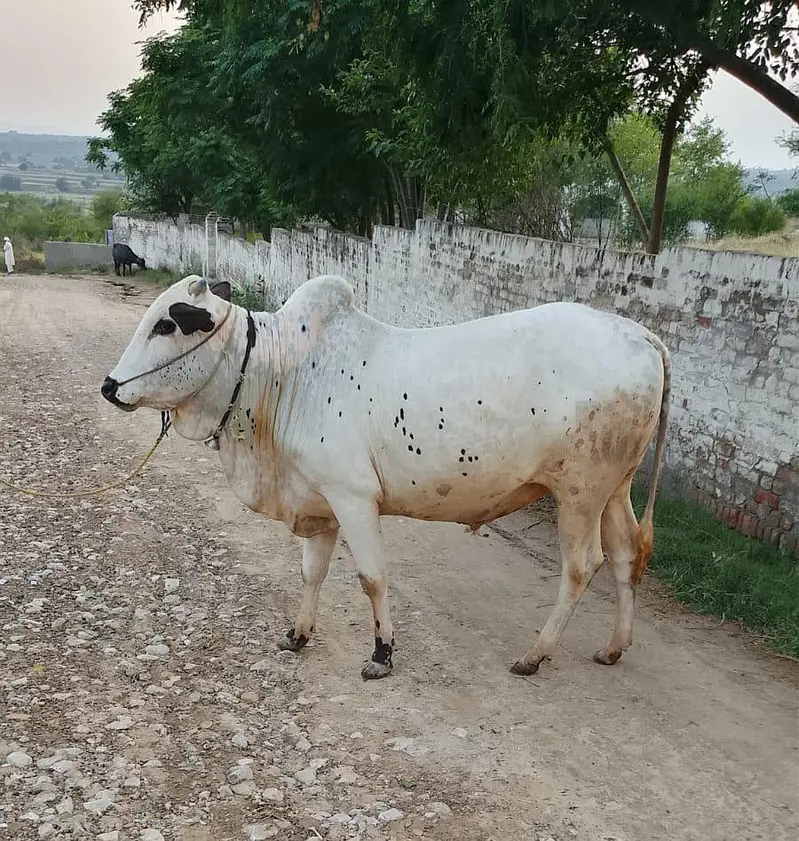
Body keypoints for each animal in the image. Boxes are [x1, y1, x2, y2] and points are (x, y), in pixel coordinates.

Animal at [102, 274, 671, 681]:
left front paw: (382, 652)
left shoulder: (354, 499)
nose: (109, 386)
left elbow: (371, 579)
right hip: (614, 489)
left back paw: (535, 654)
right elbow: (312, 574)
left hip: (578, 494)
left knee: (583, 566)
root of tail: (642, 335)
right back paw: (614, 647)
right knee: (625, 555)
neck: (281, 373)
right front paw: (298, 633)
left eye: (166, 324)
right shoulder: (320, 503)